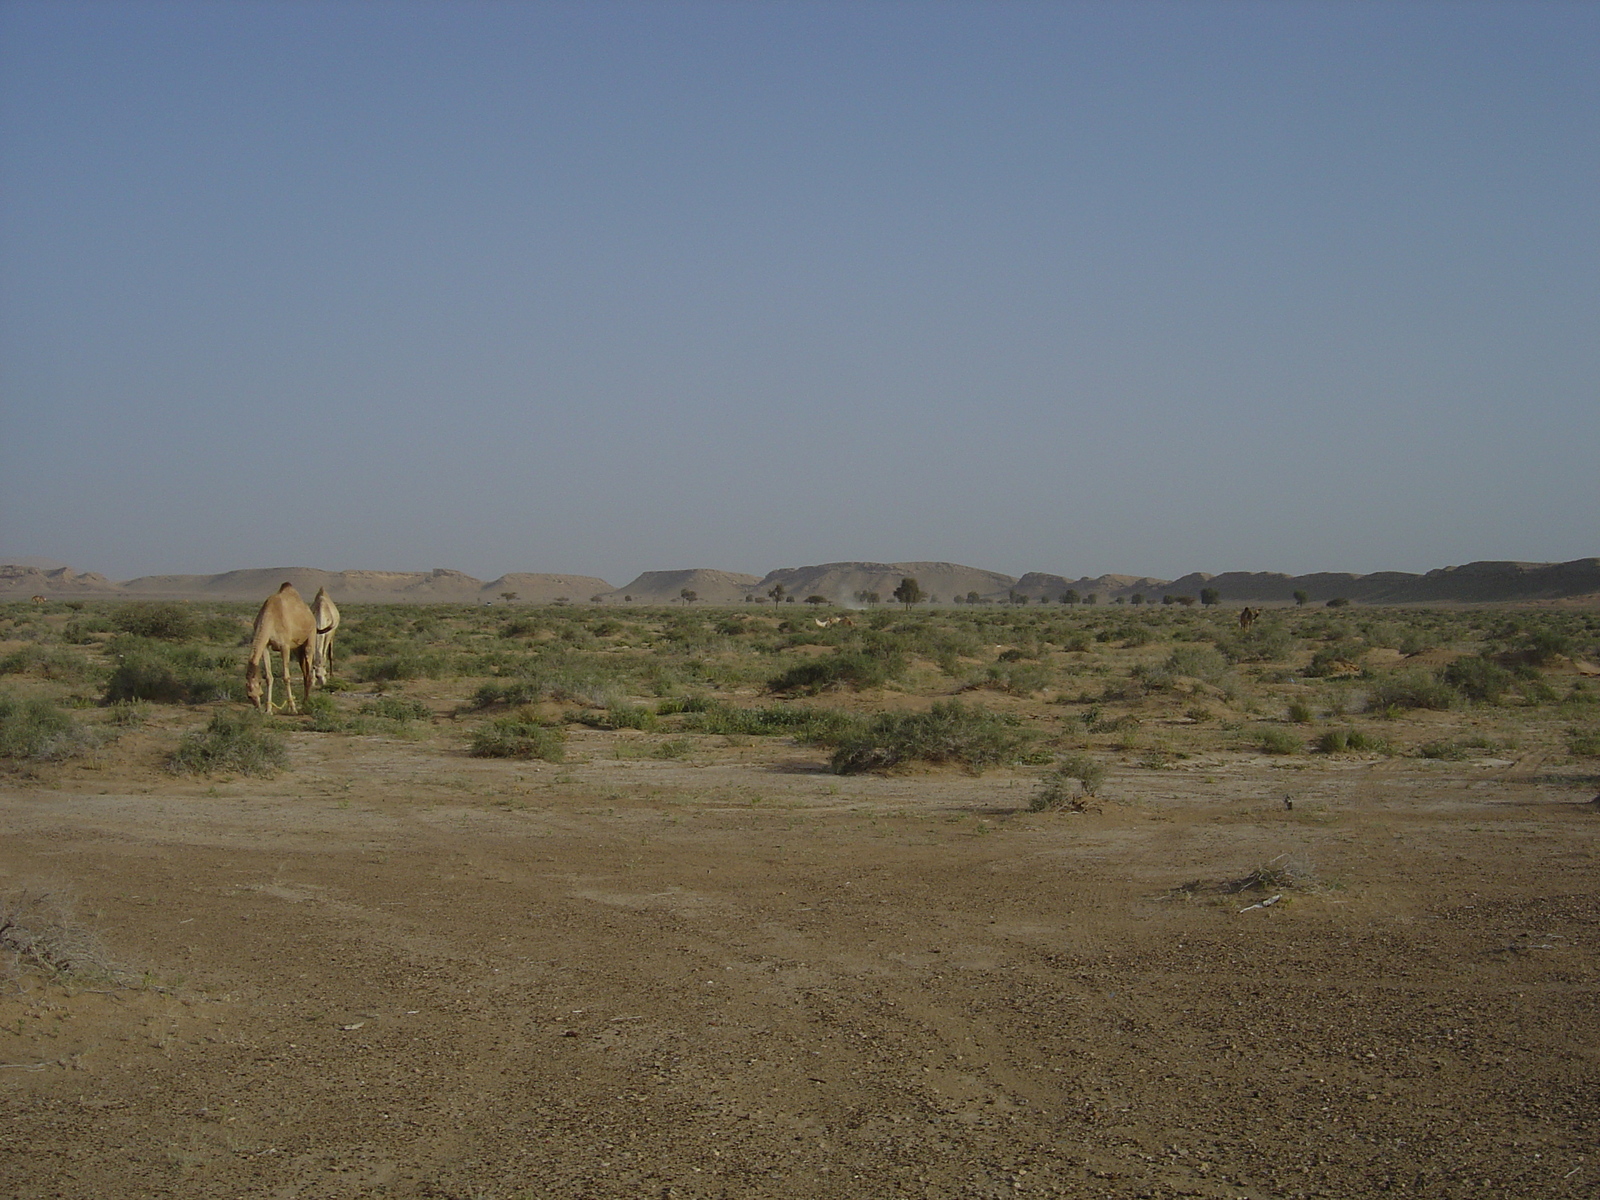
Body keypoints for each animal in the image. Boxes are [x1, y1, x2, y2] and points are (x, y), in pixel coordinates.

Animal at [244, 582, 316, 713]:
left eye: (260, 694)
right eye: (249, 696)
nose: (257, 707)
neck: (270, 617)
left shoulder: (285, 646)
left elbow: (286, 677)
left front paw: (292, 708)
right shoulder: (266, 646)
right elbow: (269, 677)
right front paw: (268, 710)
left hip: (311, 636)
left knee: (308, 670)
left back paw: (305, 703)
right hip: (298, 648)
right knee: (304, 671)